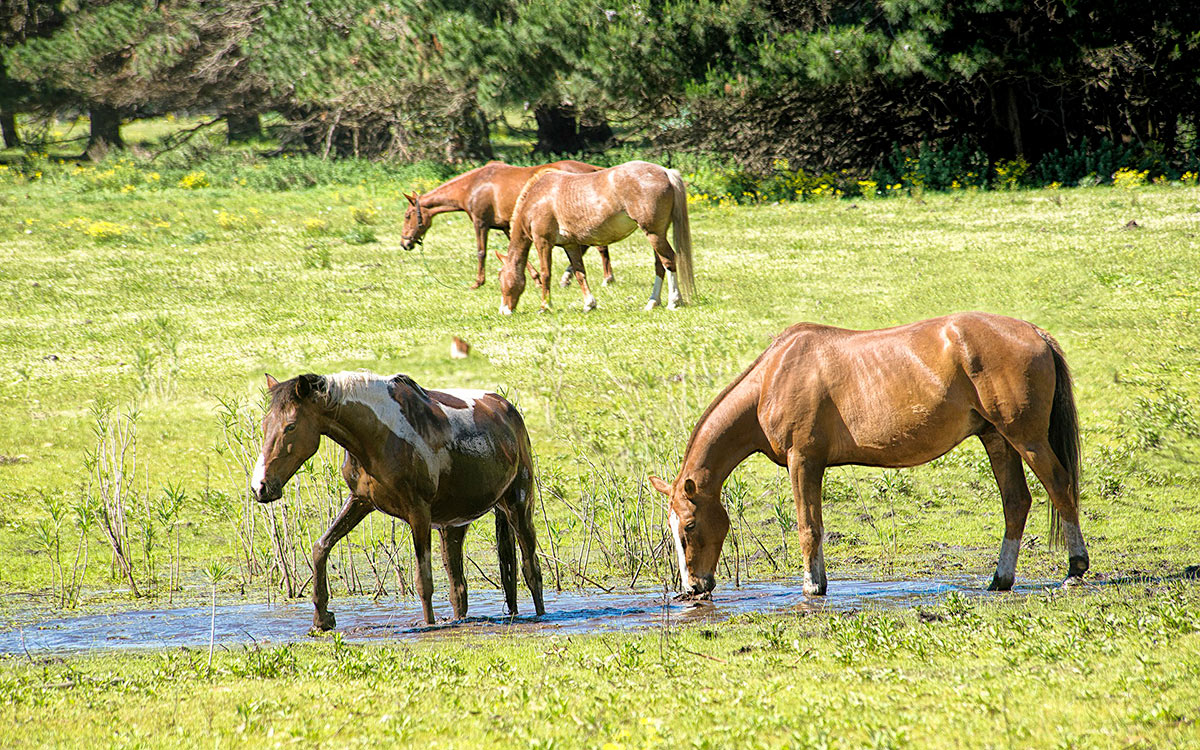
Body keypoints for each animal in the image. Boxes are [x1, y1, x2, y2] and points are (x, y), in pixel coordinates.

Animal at [253, 372, 544, 628]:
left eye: (290, 426)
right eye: (265, 425)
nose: (260, 487)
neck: (379, 435)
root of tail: (506, 408)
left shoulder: (418, 512)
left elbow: (423, 579)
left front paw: (428, 625)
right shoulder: (360, 502)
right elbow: (321, 547)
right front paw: (322, 619)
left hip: (518, 505)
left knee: (531, 570)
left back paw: (541, 614)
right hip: (454, 525)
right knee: (459, 588)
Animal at [400, 160, 614, 289]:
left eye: (408, 215)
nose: (404, 243)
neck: (474, 185)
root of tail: (593, 170)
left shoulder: (480, 222)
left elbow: (481, 252)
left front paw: (478, 282)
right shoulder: (506, 226)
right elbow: (519, 255)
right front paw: (535, 279)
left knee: (599, 246)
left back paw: (606, 278)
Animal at [496, 160, 696, 312]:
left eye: (501, 277)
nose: (504, 310)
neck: (537, 197)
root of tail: (665, 171)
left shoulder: (543, 242)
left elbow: (546, 274)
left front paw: (545, 306)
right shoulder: (570, 245)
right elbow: (579, 273)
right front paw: (589, 304)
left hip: (653, 233)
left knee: (669, 260)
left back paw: (673, 301)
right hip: (657, 234)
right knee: (659, 265)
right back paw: (652, 302)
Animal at [652, 312, 1094, 600]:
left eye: (689, 526)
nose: (692, 588)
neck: (772, 378)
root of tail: (1035, 333)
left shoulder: (803, 460)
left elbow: (808, 527)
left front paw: (813, 586)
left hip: (1026, 437)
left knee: (1060, 488)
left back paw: (1075, 569)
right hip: (997, 439)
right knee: (1016, 502)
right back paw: (1000, 579)